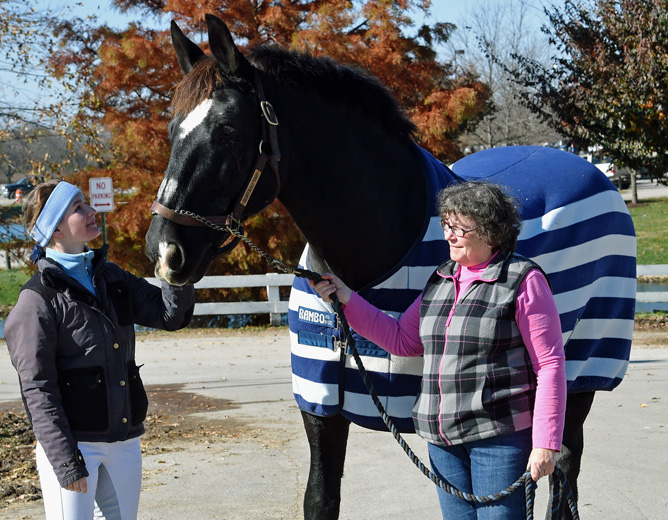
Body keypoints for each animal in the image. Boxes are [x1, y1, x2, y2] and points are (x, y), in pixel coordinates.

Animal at [146, 14, 636, 516]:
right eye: (171, 129)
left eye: (227, 130)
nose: (164, 252)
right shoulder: (320, 405)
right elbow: (321, 498)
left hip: (581, 375)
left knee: (562, 470)